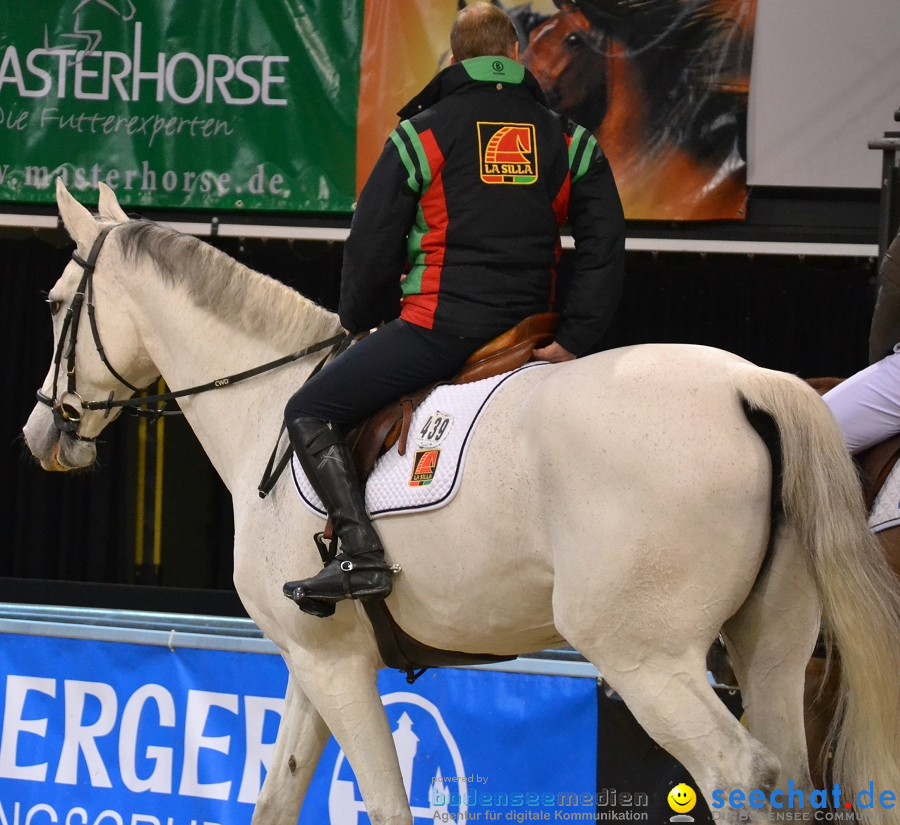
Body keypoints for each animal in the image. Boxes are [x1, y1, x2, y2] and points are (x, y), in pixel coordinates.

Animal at [19, 180, 900, 824]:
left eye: (57, 303)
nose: (40, 431)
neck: (264, 402)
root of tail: (749, 385)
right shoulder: (315, 658)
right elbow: (277, 798)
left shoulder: (334, 666)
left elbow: (386, 805)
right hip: (774, 650)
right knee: (791, 778)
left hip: (647, 660)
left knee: (738, 776)